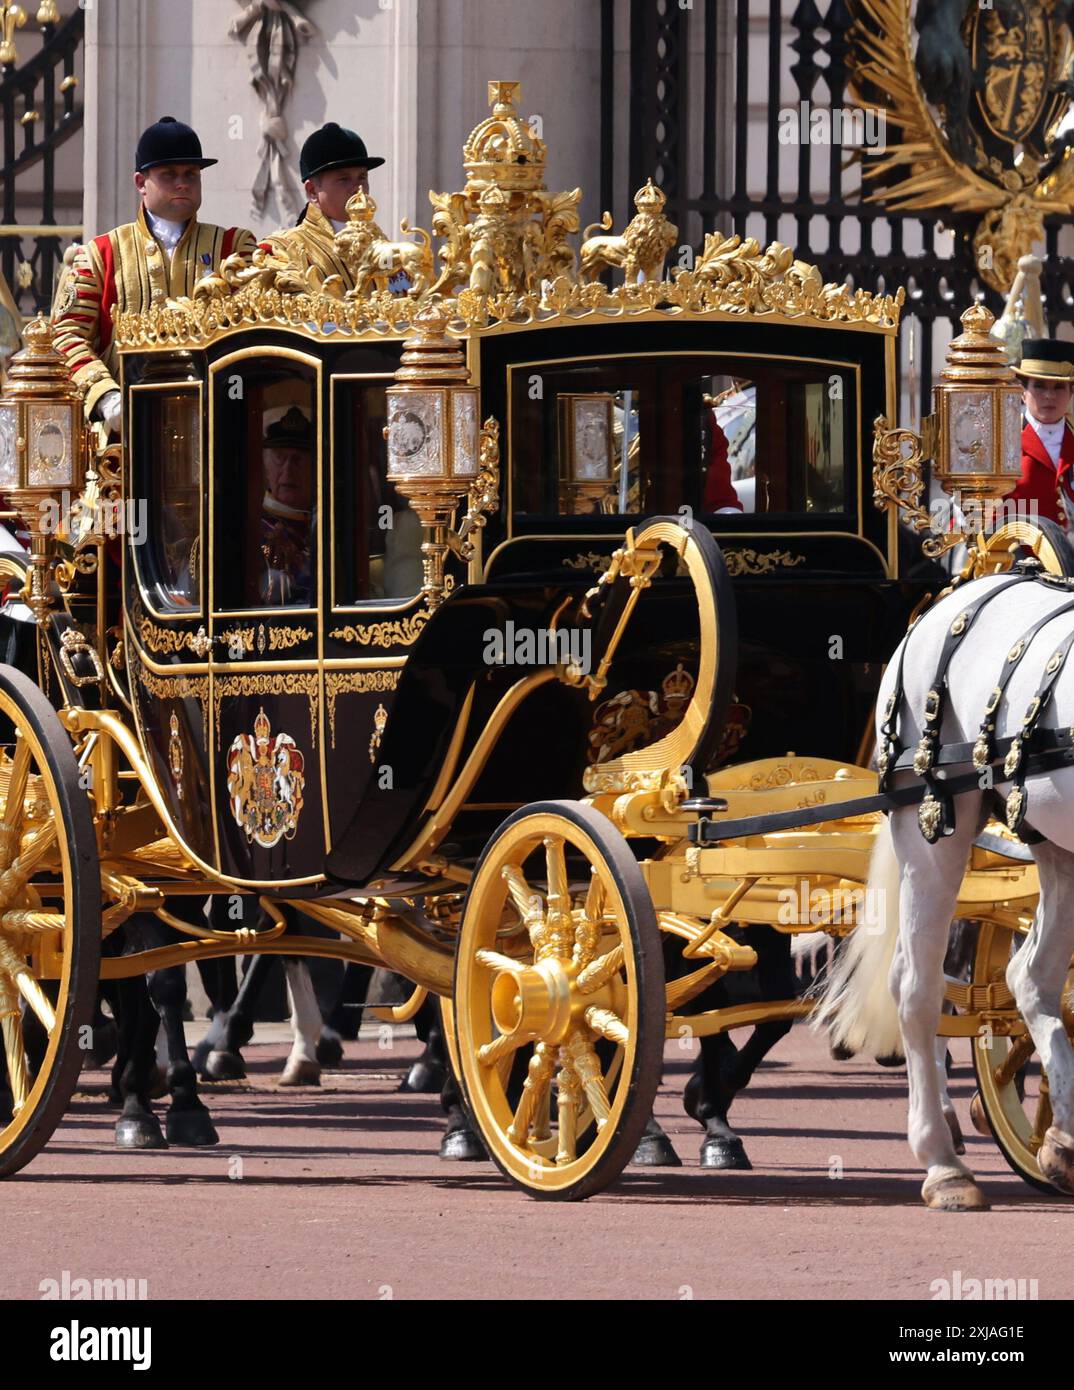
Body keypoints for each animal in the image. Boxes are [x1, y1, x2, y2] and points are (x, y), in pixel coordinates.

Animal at [811, 569, 1072, 1212]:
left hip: (1053, 842)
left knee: (1031, 977)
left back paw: (1060, 1141)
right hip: (930, 824)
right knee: (915, 987)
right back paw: (944, 1164)